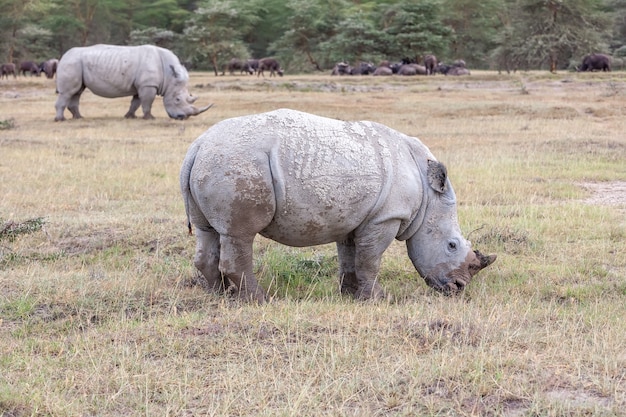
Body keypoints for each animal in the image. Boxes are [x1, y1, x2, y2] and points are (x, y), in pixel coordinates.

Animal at [182, 109, 498, 300]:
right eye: (452, 245)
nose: (458, 288)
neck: (428, 199)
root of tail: (197, 145)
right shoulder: (385, 217)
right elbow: (370, 260)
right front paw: (379, 299)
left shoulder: (356, 216)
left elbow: (350, 257)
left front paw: (350, 295)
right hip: (238, 162)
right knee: (240, 234)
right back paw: (260, 300)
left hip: (218, 161)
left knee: (208, 231)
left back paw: (219, 295)